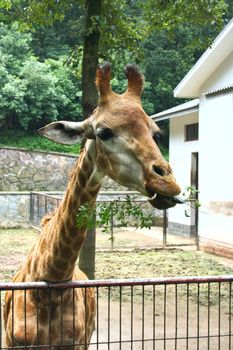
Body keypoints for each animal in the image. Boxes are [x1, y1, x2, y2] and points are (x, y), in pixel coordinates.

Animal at [3, 61, 181, 348]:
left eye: (155, 133)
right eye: (104, 132)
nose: (168, 184)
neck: (52, 279)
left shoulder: (78, 342)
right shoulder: (12, 341)